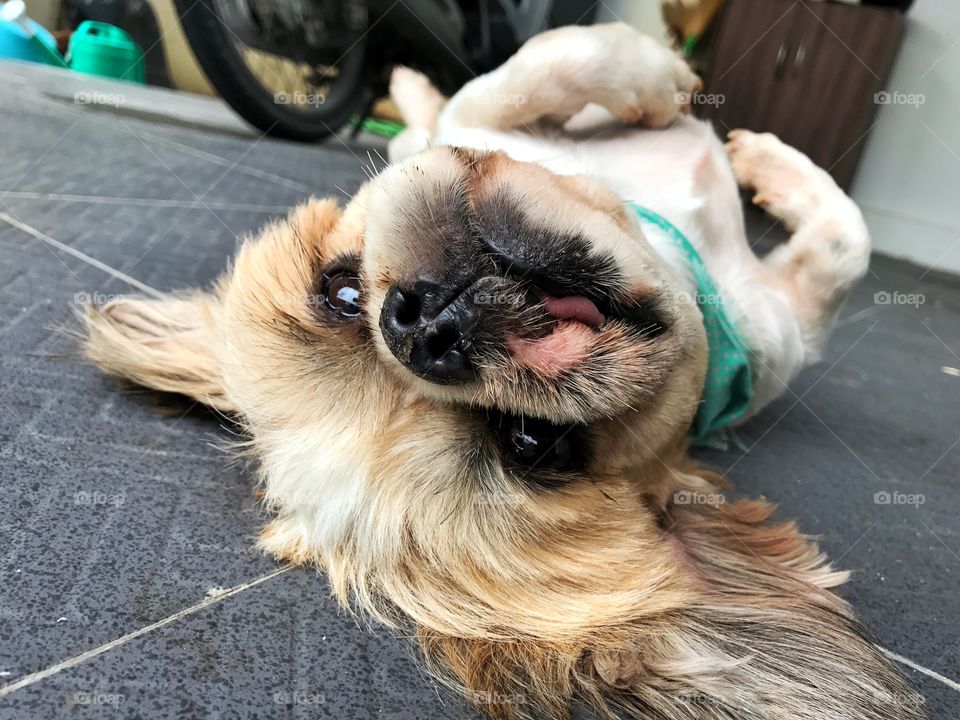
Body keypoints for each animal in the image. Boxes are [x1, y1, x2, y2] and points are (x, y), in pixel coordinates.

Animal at [82, 22, 924, 720]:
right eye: (534, 442)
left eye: (342, 294)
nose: (426, 330)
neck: (661, 234)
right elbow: (537, 69)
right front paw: (677, 91)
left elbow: (541, 66)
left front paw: (694, 104)